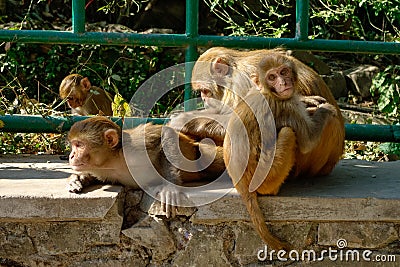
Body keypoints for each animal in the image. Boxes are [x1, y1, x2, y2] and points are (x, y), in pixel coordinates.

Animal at [67, 117, 227, 218]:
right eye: (73, 145)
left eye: (79, 145)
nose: (71, 155)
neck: (114, 161)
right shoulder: (103, 171)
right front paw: (77, 179)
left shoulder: (135, 145)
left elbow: (165, 134)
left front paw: (170, 187)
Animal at [223, 53, 340, 250]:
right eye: (272, 77)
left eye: (283, 72)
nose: (283, 83)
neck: (267, 92)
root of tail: (242, 184)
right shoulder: (288, 107)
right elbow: (308, 142)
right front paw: (325, 109)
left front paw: (308, 100)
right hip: (268, 177)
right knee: (288, 133)